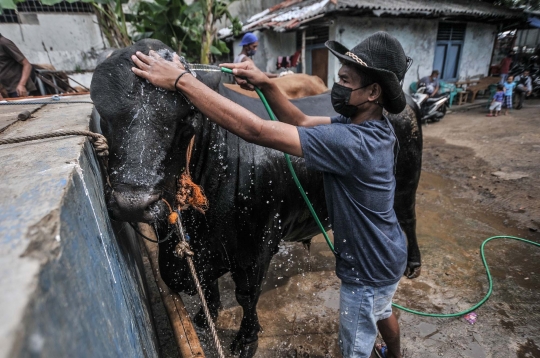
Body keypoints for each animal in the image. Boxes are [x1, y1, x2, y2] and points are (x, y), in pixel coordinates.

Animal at [90, 39, 422, 356]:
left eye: (187, 121)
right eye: (105, 116)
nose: (133, 203)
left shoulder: (257, 245)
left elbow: (247, 295)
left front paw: (246, 338)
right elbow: (207, 286)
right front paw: (206, 316)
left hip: (406, 184)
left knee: (407, 218)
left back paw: (412, 265)